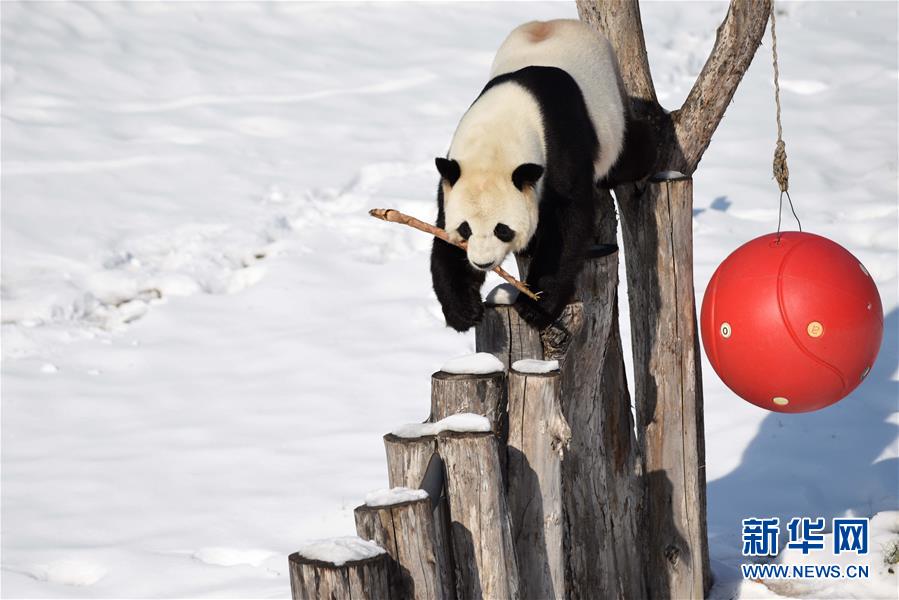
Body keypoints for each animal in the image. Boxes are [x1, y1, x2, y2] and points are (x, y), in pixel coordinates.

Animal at [430, 19, 652, 332]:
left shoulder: (559, 147)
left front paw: (535, 306)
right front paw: (463, 309)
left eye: (502, 229)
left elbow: (567, 222)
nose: (483, 263)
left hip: (610, 118)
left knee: (628, 154)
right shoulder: (453, 175)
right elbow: (441, 234)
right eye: (465, 229)